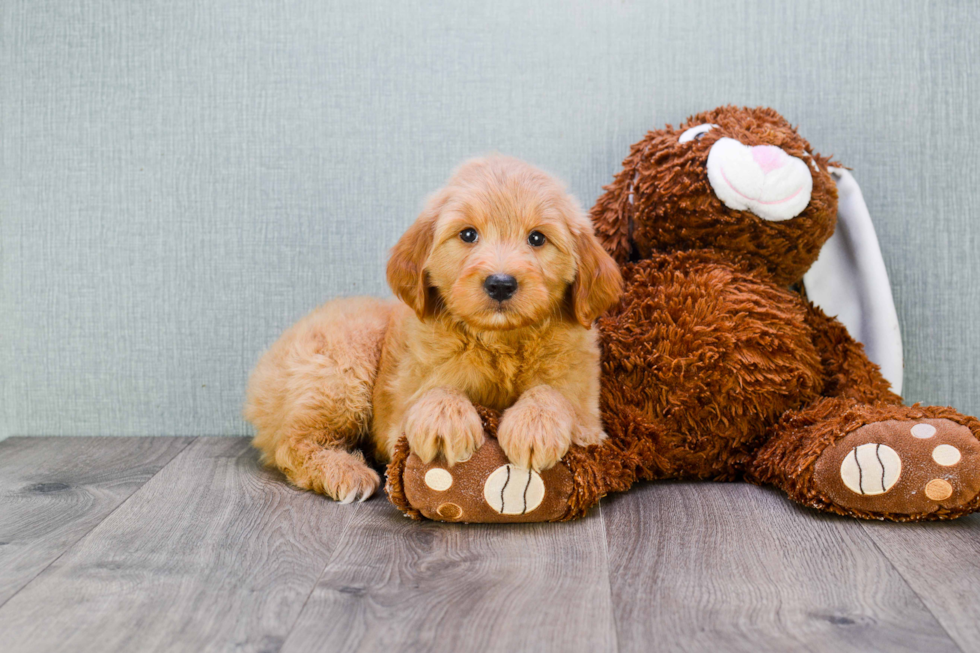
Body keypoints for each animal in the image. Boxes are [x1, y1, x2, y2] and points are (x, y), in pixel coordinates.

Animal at [243, 155, 620, 502]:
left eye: (538, 238)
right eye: (468, 234)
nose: (500, 284)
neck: (500, 341)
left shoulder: (589, 416)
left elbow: (553, 394)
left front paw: (534, 426)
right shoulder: (402, 405)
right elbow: (434, 389)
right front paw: (444, 420)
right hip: (344, 368)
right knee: (292, 443)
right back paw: (345, 471)